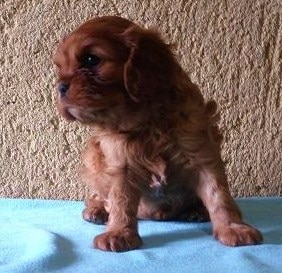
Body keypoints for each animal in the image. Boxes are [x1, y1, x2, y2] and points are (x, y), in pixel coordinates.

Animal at [54, 15, 264, 251]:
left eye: (91, 59)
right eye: (59, 68)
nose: (60, 87)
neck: (146, 121)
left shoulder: (201, 152)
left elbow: (219, 195)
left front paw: (233, 228)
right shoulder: (121, 165)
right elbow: (120, 200)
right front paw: (118, 233)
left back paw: (197, 211)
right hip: (93, 157)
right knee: (99, 194)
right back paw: (97, 209)